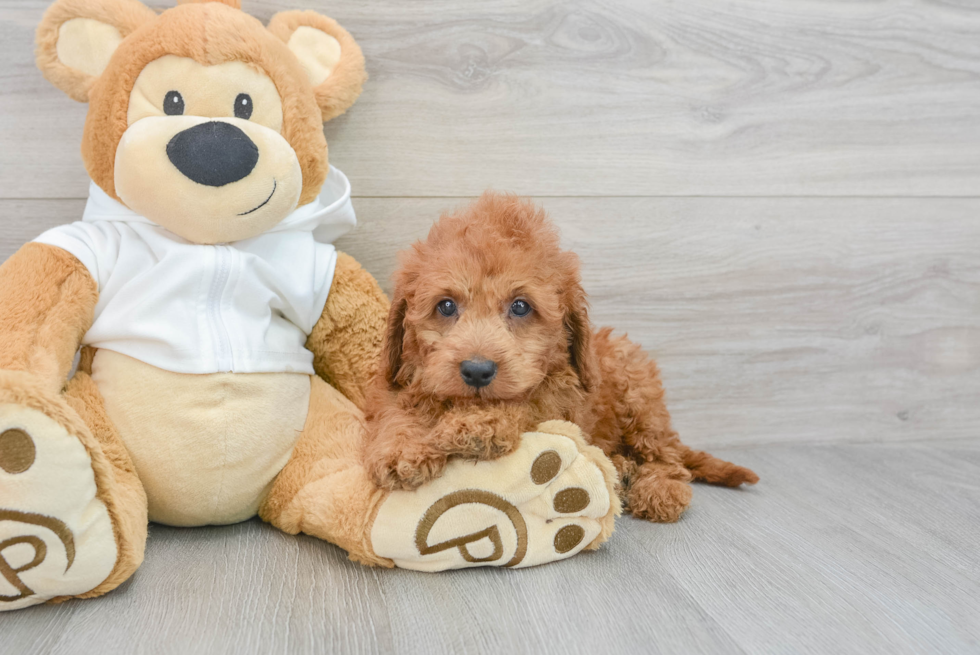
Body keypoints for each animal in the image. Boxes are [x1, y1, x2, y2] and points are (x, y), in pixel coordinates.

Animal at [366, 193, 756, 524]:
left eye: (520, 306)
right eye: (446, 306)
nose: (477, 371)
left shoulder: (561, 398)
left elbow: (526, 402)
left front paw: (477, 425)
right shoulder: (400, 380)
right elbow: (397, 411)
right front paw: (402, 450)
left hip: (638, 388)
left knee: (666, 455)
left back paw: (660, 488)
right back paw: (621, 466)